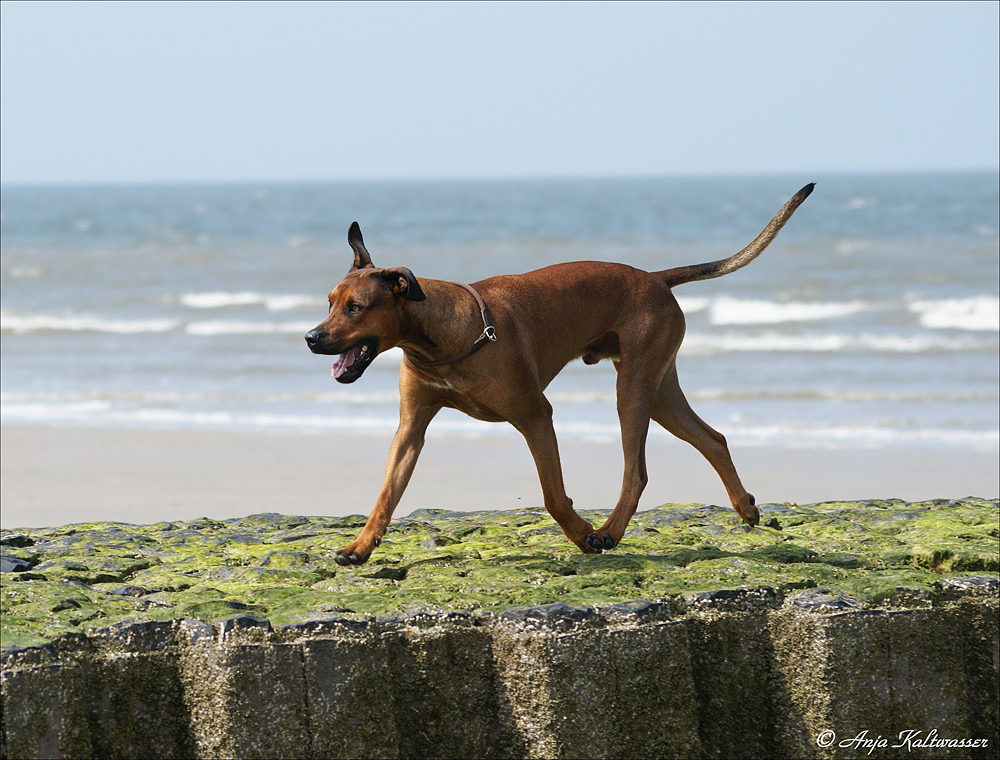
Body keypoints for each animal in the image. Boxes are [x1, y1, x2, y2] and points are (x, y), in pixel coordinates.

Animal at [304, 183, 812, 564]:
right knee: (713, 439)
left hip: (633, 388)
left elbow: (552, 494)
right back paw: (744, 507)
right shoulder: (411, 427)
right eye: (328, 302)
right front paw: (359, 547)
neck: (442, 338)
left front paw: (582, 534)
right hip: (660, 391)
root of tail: (655, 277)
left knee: (637, 471)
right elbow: (385, 494)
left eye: (356, 308)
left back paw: (609, 531)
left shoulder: (535, 415)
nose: (311, 337)